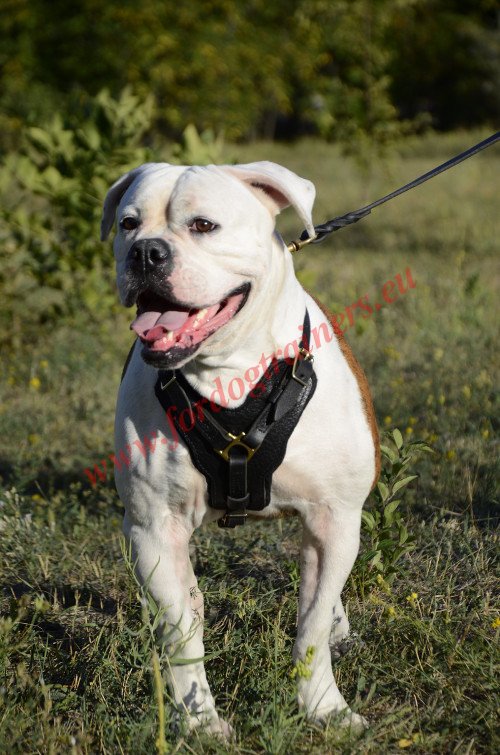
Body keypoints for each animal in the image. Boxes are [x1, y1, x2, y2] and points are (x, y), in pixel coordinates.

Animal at [101, 162, 378, 736]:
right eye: (128, 224)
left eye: (203, 225)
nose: (146, 252)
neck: (227, 371)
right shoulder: (154, 530)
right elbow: (181, 634)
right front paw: (199, 722)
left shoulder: (334, 518)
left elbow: (312, 625)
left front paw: (324, 708)